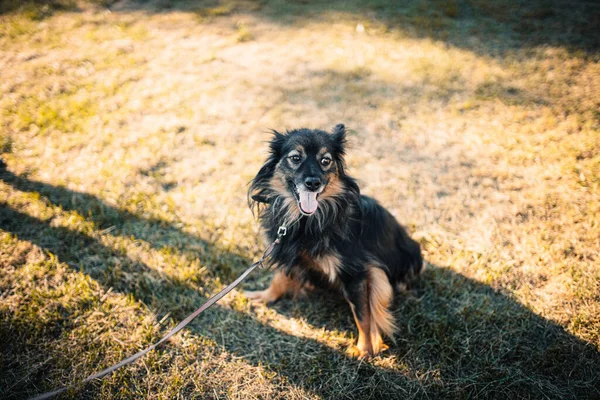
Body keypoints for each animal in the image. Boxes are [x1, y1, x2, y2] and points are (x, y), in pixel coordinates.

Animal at [244, 124, 422, 356]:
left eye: (325, 161)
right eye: (295, 158)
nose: (313, 183)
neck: (305, 220)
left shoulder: (356, 272)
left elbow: (363, 315)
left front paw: (364, 350)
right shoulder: (285, 248)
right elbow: (280, 277)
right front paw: (266, 295)